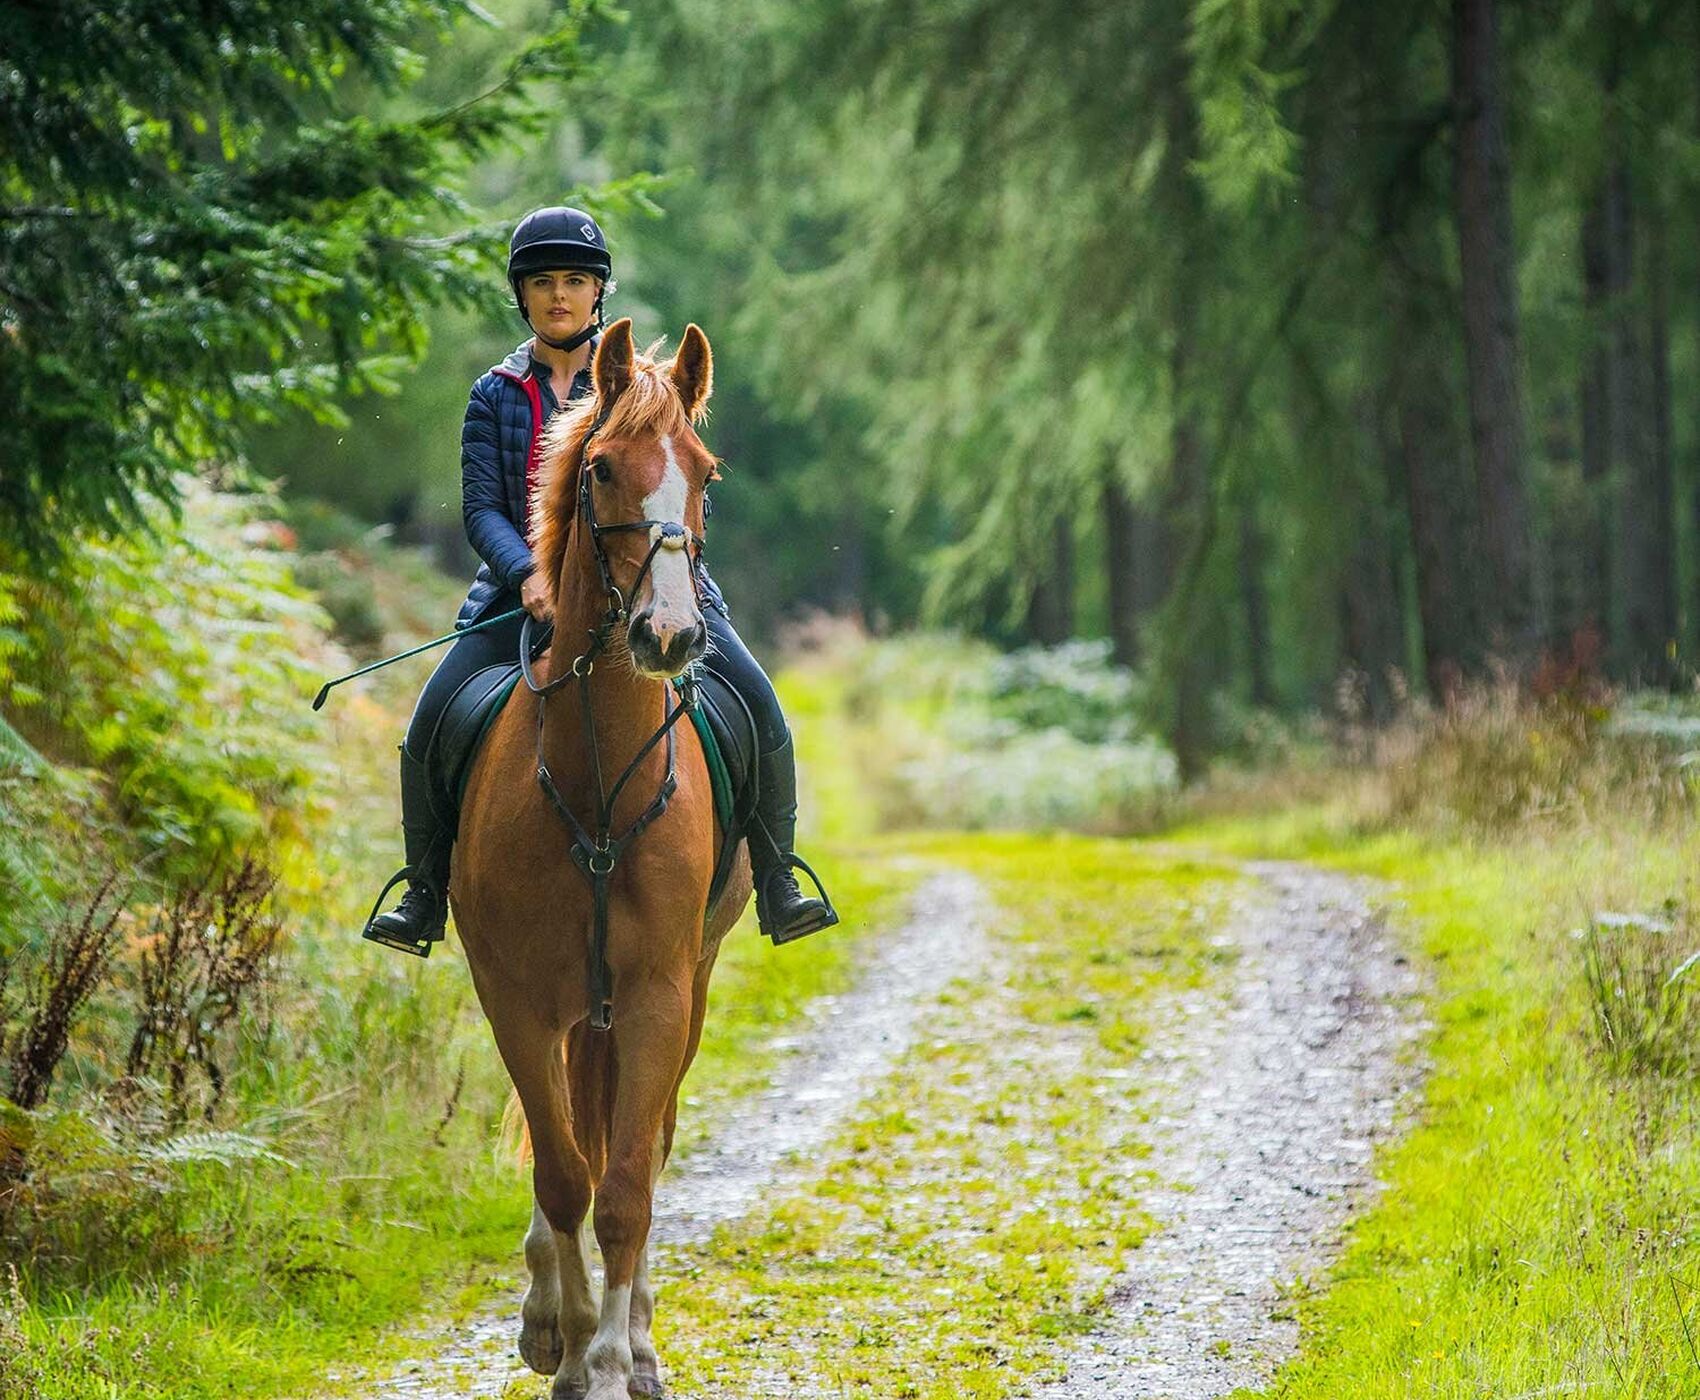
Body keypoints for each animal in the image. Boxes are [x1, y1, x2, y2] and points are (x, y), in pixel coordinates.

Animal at [452, 319, 751, 1400]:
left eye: (703, 471)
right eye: (603, 468)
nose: (667, 635)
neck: (595, 784)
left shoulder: (660, 990)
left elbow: (624, 1183)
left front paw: (620, 1356)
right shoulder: (515, 994)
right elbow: (562, 1171)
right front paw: (569, 1339)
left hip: (683, 985)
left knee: (644, 1146)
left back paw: (642, 1335)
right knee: (571, 1150)